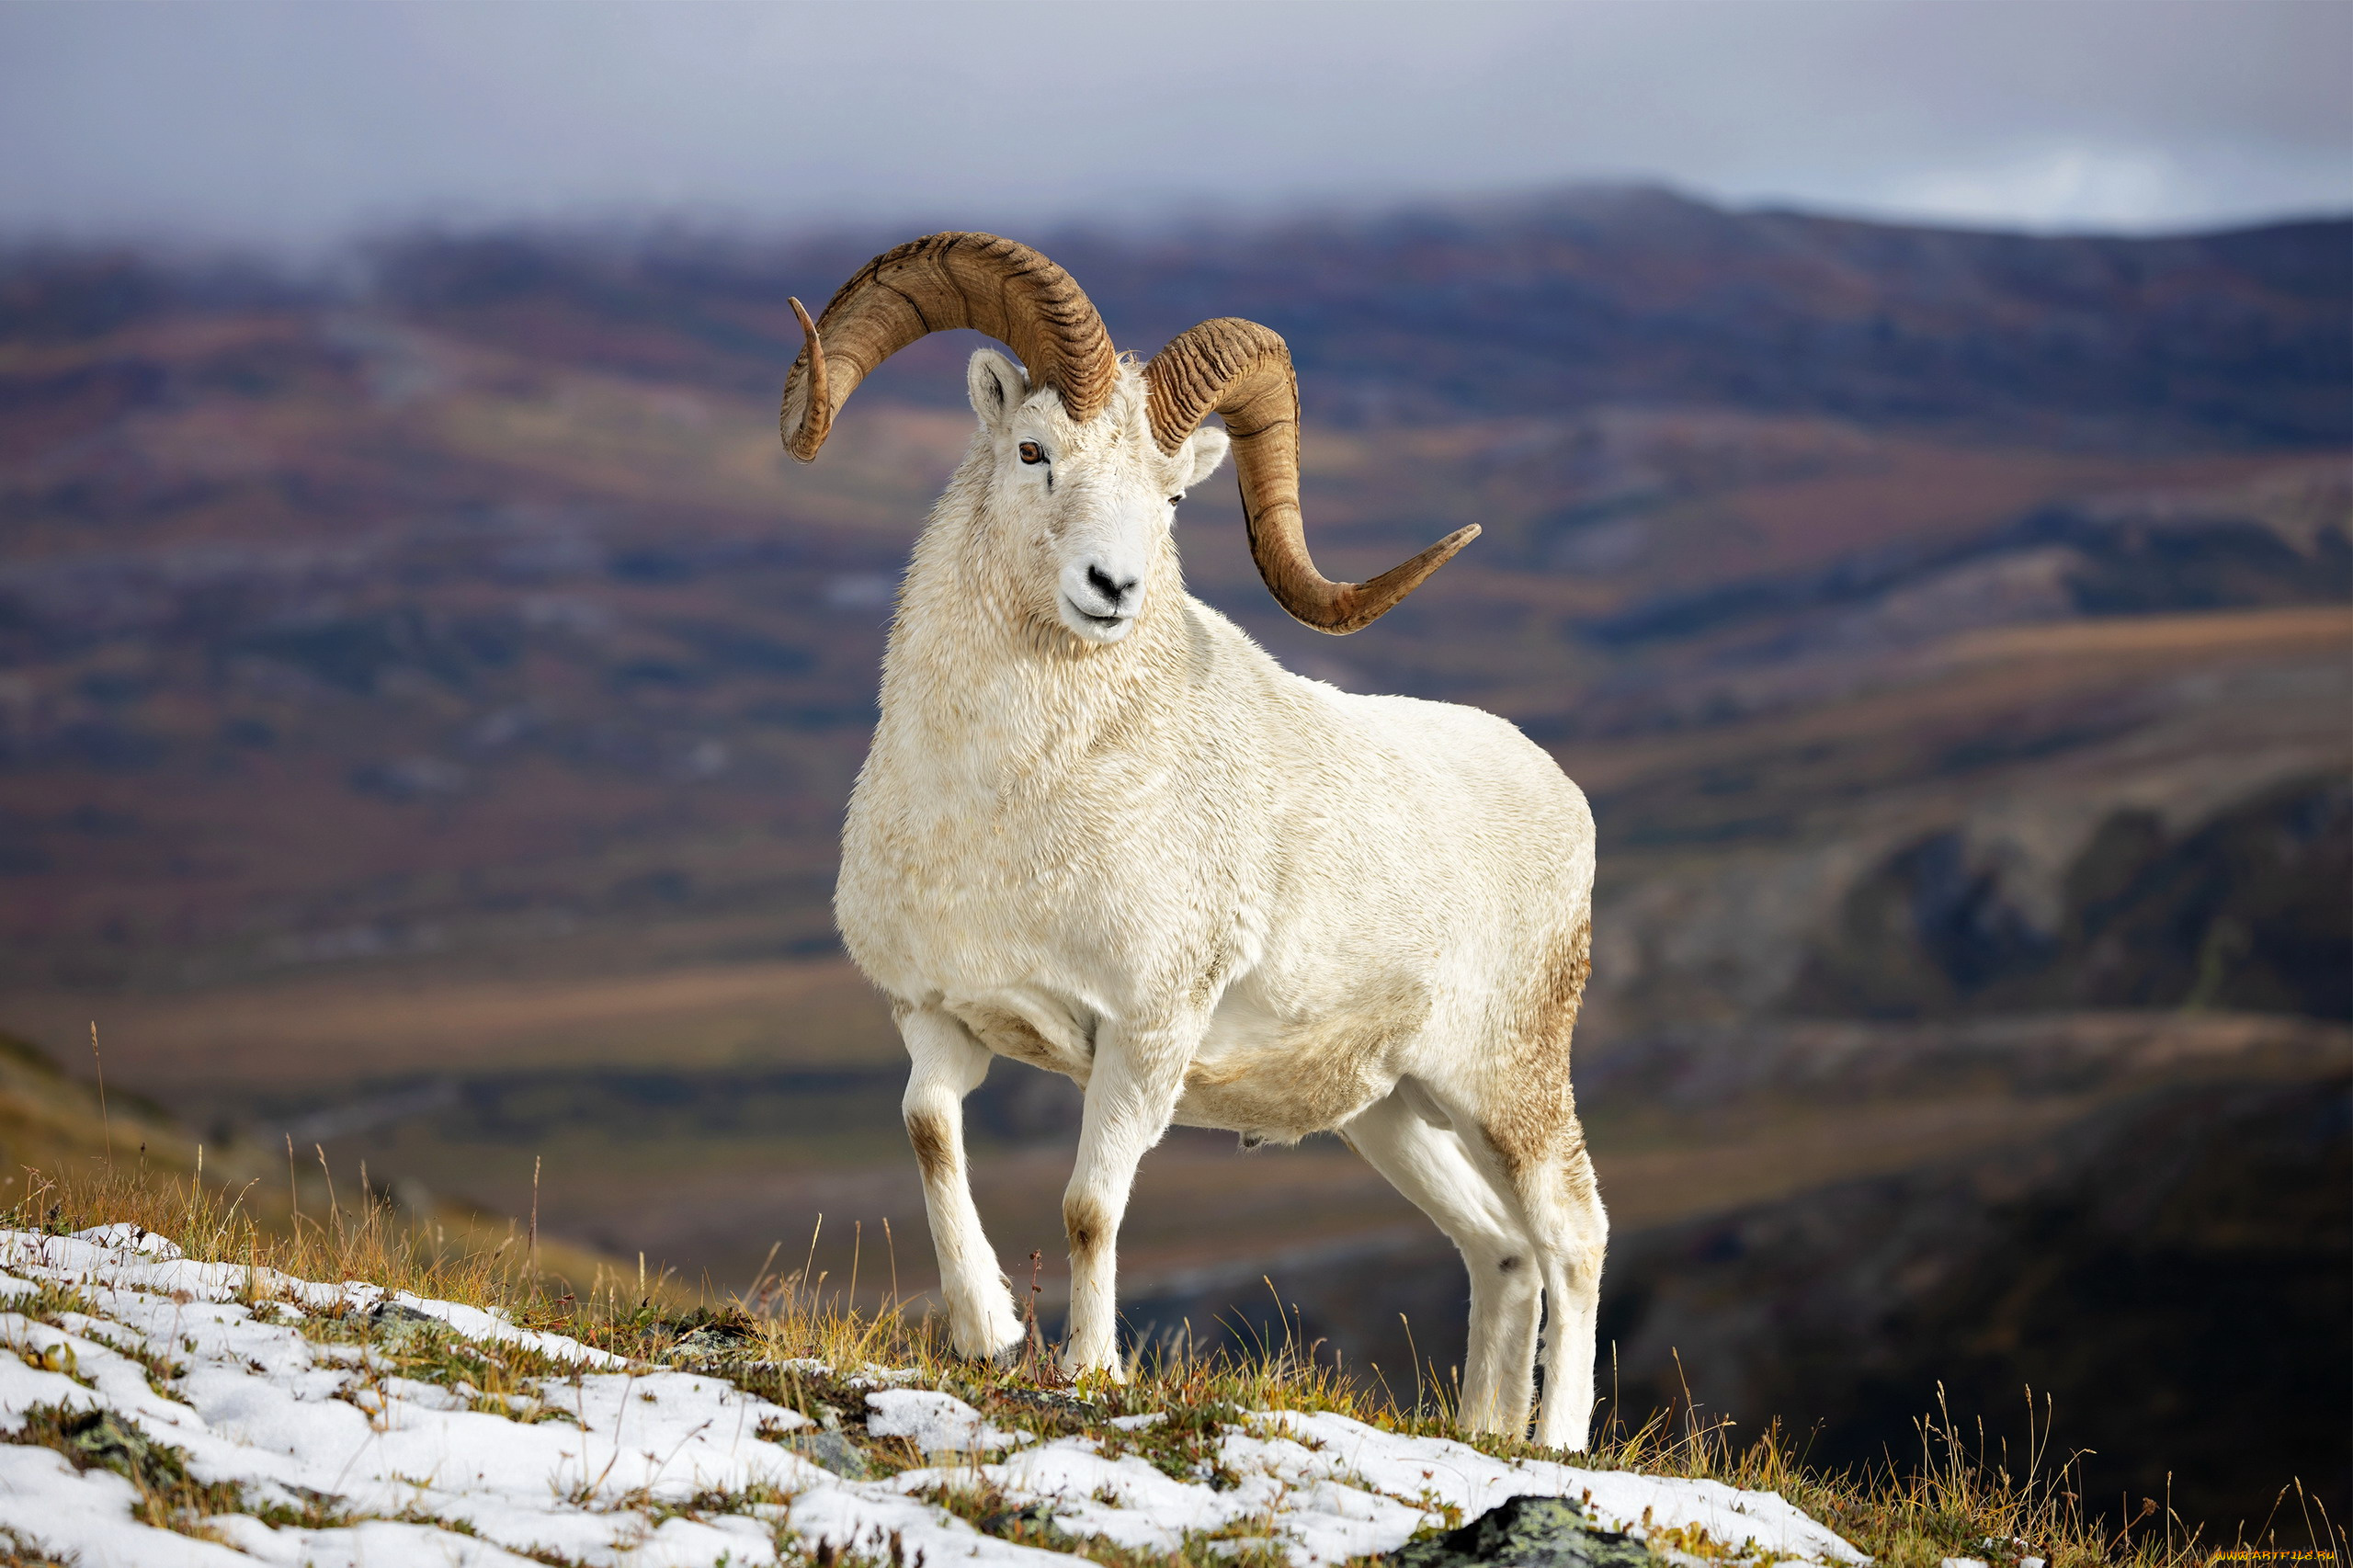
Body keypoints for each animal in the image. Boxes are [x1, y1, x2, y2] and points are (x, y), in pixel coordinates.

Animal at [778, 233, 1604, 1449]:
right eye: (1033, 448)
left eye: (1172, 495)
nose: (1110, 589)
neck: (1007, 809)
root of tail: (1562, 796)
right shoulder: (939, 1015)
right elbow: (929, 1129)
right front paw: (988, 1330)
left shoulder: (1143, 1037)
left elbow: (1089, 1205)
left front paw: (1092, 1369)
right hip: (1396, 1112)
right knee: (1499, 1253)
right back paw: (1485, 1431)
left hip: (1510, 1087)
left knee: (1572, 1234)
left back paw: (1554, 1442)